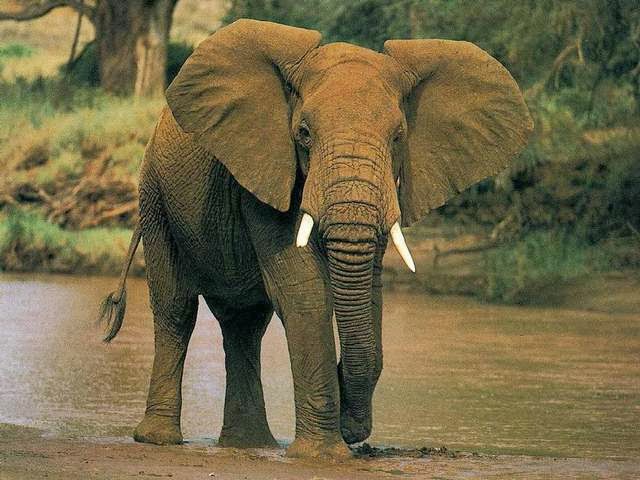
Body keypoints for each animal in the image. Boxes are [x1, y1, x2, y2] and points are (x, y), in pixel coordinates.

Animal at [98, 19, 532, 458]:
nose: (355, 431)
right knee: (177, 309)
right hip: (155, 197)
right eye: (304, 134)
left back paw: (249, 445)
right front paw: (322, 455)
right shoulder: (268, 165)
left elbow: (368, 290)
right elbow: (304, 290)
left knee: (244, 325)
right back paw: (160, 439)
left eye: (398, 137)